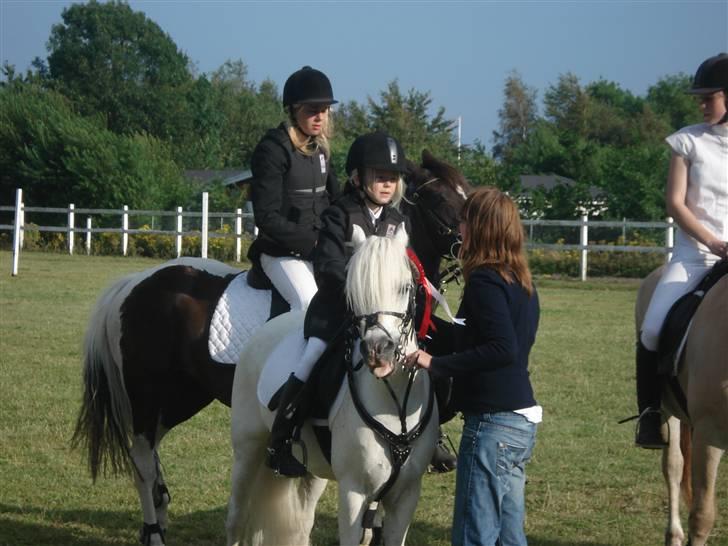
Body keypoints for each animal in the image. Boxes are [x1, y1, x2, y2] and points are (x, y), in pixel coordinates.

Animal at [225, 227, 438, 544]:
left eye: (404, 287)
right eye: (354, 294)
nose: (378, 351)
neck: (394, 402)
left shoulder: (406, 495)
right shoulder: (353, 492)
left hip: (311, 470)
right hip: (248, 448)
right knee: (237, 517)